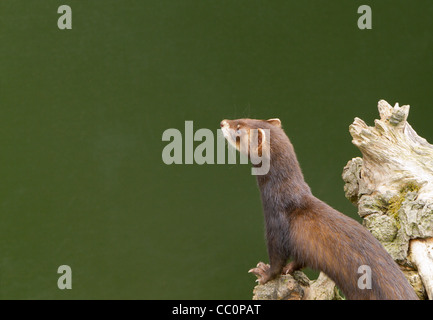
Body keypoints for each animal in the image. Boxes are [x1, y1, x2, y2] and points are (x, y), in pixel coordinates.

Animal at [221, 117, 416, 300]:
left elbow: (277, 260)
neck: (284, 195)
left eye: (238, 128)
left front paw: (263, 273)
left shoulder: (276, 225)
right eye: (245, 118)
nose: (223, 122)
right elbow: (300, 260)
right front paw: (289, 268)